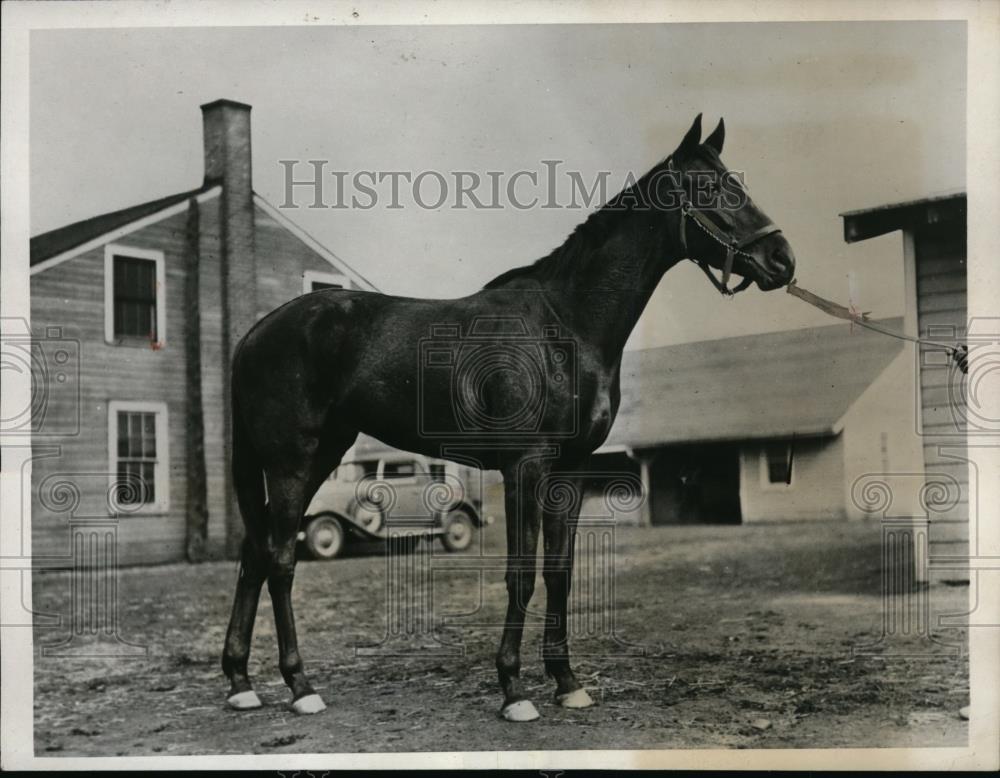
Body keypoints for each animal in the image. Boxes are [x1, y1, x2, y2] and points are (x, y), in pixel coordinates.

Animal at [221, 116, 796, 720]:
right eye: (709, 188)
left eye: (736, 181)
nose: (783, 260)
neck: (566, 325)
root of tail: (255, 334)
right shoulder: (525, 465)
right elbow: (519, 575)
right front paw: (514, 689)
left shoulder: (569, 470)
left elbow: (559, 573)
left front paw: (567, 682)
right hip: (293, 461)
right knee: (280, 558)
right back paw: (300, 685)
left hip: (320, 455)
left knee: (255, 553)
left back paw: (241, 682)